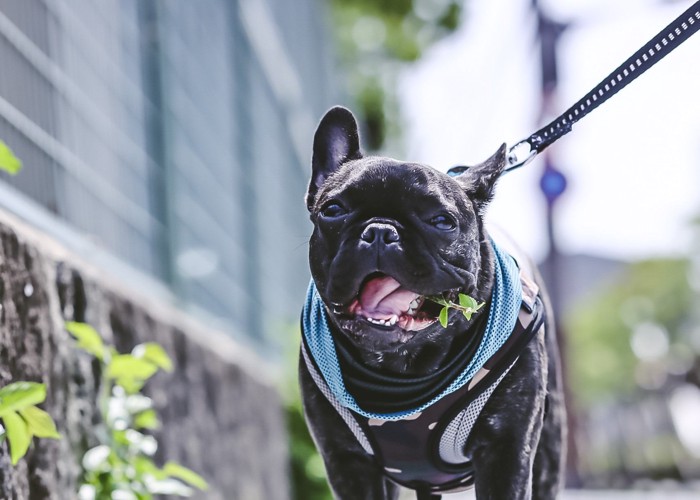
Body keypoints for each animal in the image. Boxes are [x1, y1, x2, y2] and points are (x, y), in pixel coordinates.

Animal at [300, 107, 564, 498]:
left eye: (441, 221)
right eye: (333, 210)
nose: (380, 230)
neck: (404, 368)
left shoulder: (506, 452)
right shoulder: (347, 461)